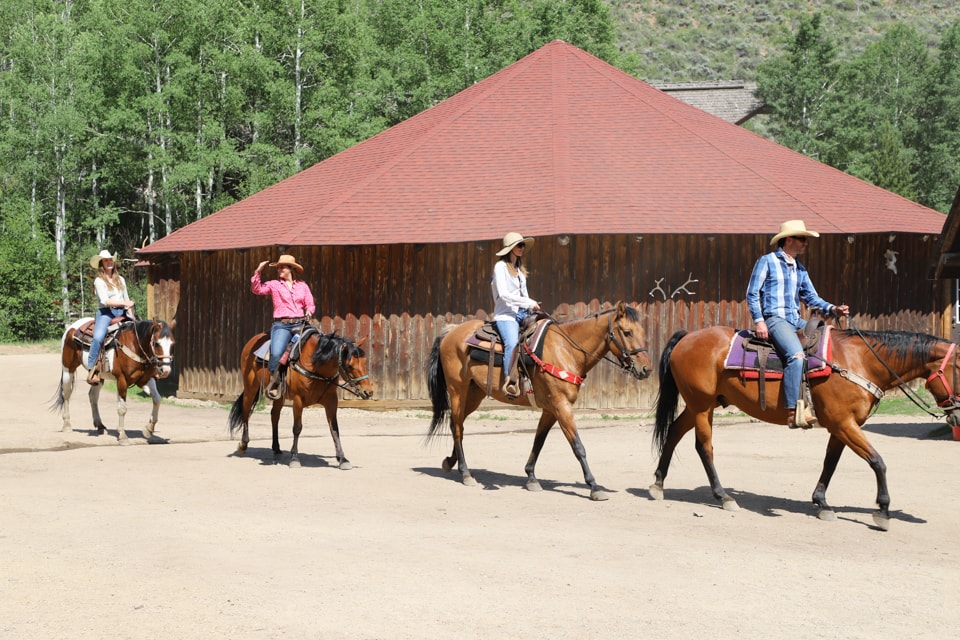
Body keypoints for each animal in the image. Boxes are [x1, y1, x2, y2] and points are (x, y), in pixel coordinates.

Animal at [52, 316, 176, 444]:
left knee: (93, 396)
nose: (165, 370)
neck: (135, 345)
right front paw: (122, 436)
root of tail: (72, 327)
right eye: (156, 343)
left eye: (173, 344)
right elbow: (122, 408)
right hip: (68, 369)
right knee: (66, 394)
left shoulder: (145, 379)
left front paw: (149, 429)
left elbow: (157, 399)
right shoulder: (121, 380)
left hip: (98, 376)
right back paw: (67, 425)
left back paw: (100, 425)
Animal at [227, 328, 374, 468]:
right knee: (246, 411)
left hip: (279, 395)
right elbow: (297, 428)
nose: (368, 392)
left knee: (274, 416)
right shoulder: (298, 400)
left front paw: (342, 459)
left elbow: (334, 429)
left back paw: (276, 449)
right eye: (350, 366)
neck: (316, 367)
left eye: (365, 362)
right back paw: (243, 444)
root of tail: (252, 341)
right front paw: (294, 458)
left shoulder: (331, 401)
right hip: (250, 387)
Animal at [428, 300, 652, 500]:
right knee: (457, 427)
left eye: (642, 332)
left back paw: (451, 462)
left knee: (457, 424)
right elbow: (578, 447)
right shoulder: (562, 406)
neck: (567, 350)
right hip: (458, 390)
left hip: (474, 394)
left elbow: (539, 441)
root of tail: (452, 331)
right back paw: (465, 472)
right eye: (627, 332)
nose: (646, 369)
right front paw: (594, 486)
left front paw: (531, 477)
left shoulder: (551, 409)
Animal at [648, 324, 960, 528]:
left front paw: (821, 502)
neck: (860, 362)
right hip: (701, 405)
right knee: (704, 446)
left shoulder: (841, 426)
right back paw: (723, 496)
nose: (957, 416)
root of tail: (688, 336)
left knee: (674, 433)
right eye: (959, 369)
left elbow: (830, 463)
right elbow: (877, 462)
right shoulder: (844, 424)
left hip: (700, 404)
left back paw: (658, 484)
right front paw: (883, 511)